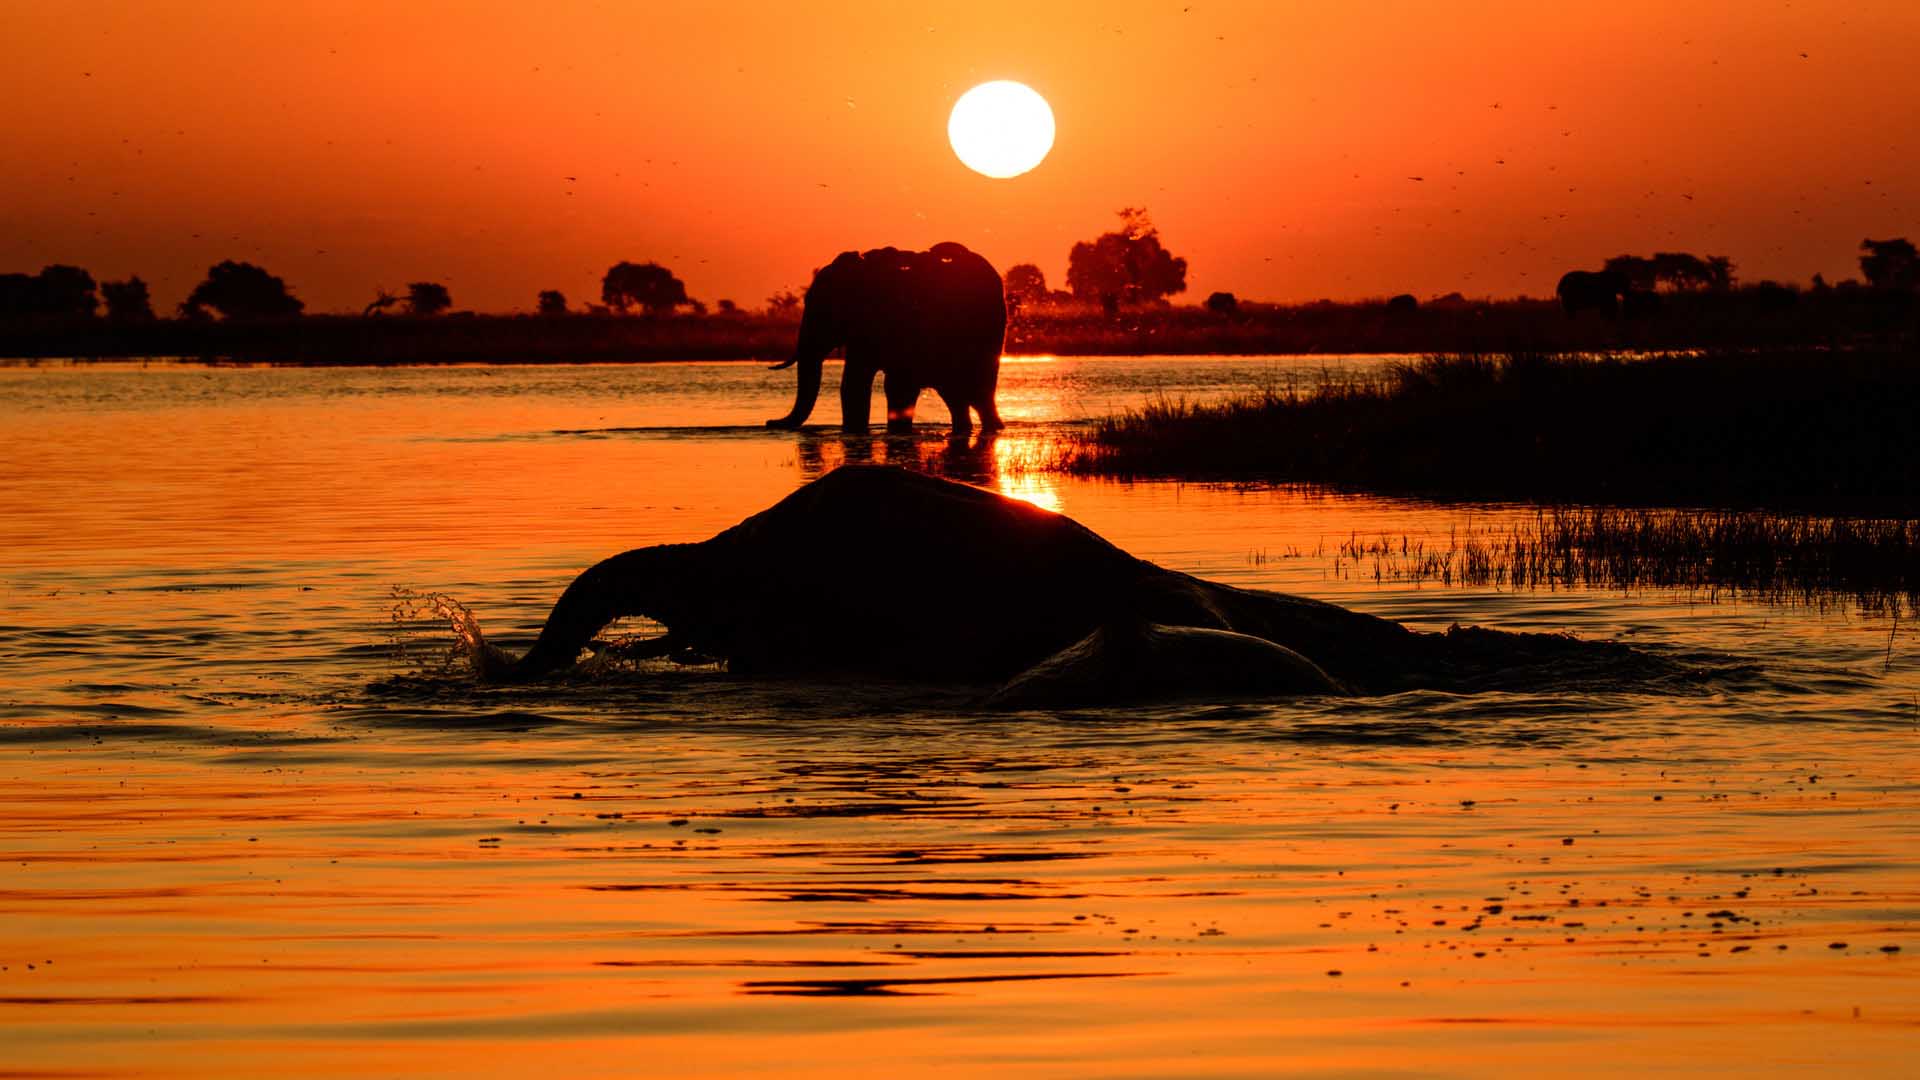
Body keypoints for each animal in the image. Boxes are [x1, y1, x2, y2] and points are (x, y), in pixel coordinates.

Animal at [767, 243, 1006, 435]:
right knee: (957, 395)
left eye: (825, 309)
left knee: (975, 393)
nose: (770, 422)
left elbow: (883, 383)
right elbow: (859, 381)